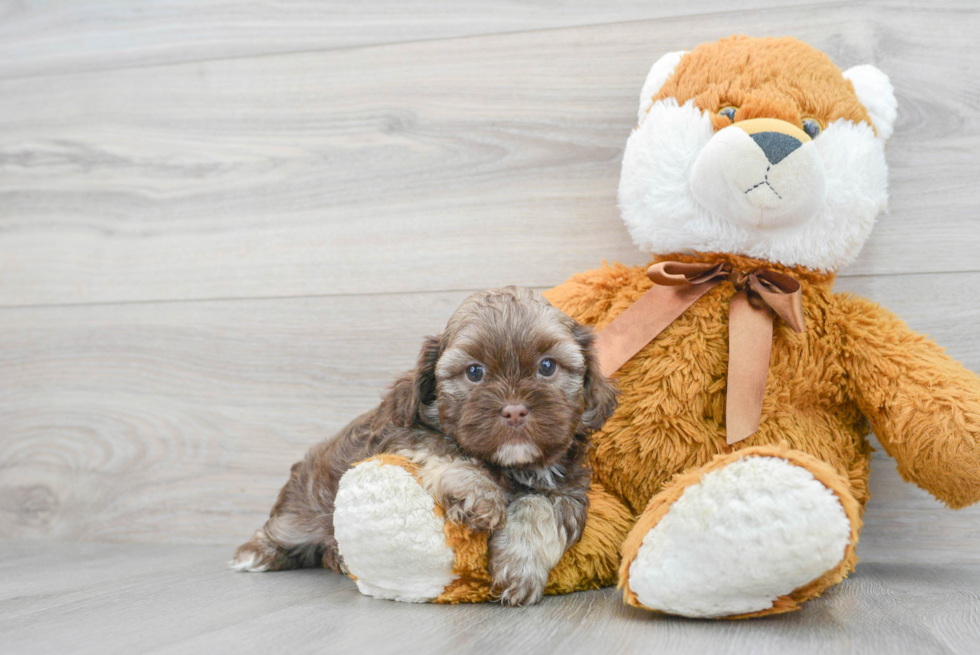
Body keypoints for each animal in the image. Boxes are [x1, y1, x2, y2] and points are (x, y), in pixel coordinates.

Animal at [232, 288, 612, 604]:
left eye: (547, 366)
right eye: (474, 372)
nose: (514, 409)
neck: (512, 466)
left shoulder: (568, 491)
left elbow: (540, 509)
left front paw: (520, 567)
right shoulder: (399, 434)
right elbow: (445, 447)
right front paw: (479, 492)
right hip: (304, 509)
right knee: (283, 529)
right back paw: (256, 553)